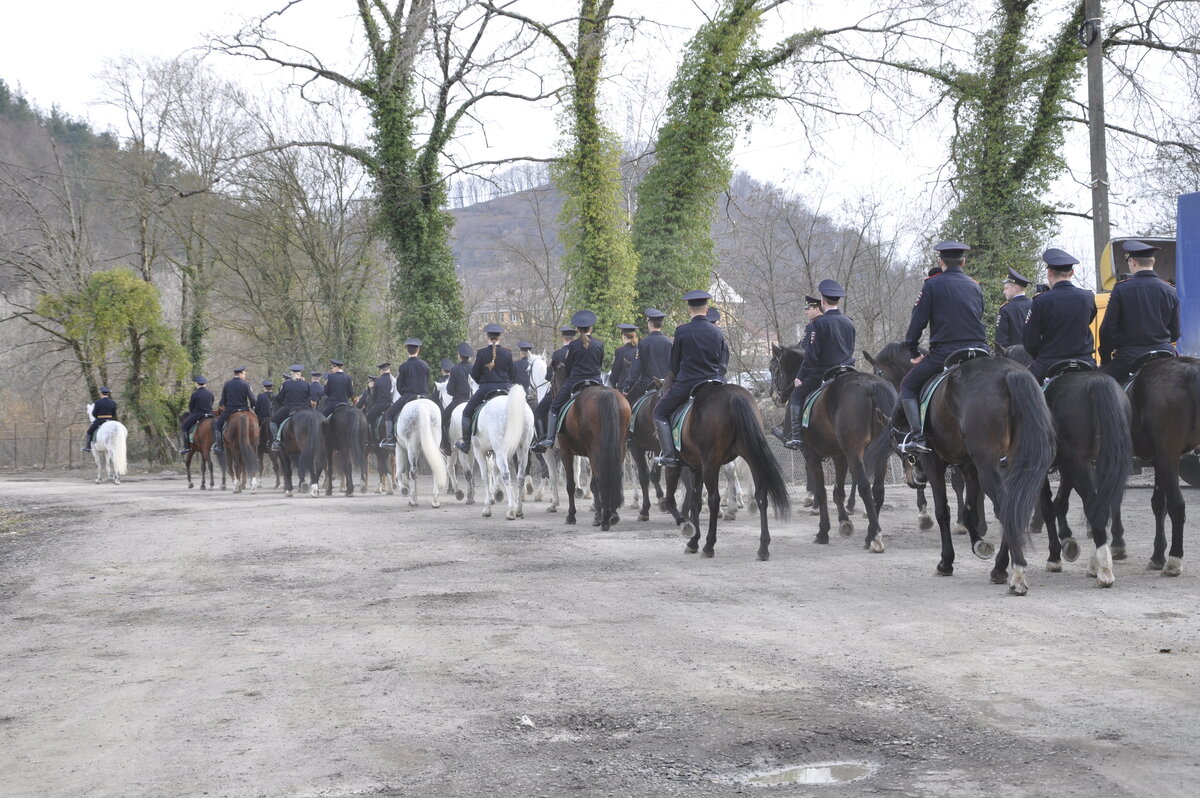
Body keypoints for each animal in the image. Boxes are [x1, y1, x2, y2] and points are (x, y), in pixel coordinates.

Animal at [468, 384, 535, 520]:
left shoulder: (480, 451)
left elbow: (485, 477)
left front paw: (487, 508)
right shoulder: (495, 453)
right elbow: (495, 471)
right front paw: (497, 493)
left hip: (501, 451)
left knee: (506, 474)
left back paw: (510, 511)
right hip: (523, 450)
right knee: (520, 476)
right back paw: (518, 509)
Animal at [556, 386, 633, 528]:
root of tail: (606, 392)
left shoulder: (565, 452)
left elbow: (571, 485)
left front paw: (571, 515)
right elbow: (592, 485)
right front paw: (598, 515)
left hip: (595, 451)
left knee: (600, 479)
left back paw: (606, 518)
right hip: (619, 447)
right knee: (614, 476)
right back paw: (613, 514)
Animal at [662, 381, 792, 556]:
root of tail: (733, 395)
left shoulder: (676, 465)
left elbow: (671, 500)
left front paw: (687, 527)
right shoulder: (697, 468)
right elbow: (695, 502)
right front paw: (693, 540)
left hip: (711, 464)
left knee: (714, 499)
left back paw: (709, 545)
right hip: (750, 456)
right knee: (761, 496)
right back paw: (763, 547)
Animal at [1123, 355, 1200, 573]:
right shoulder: (1158, 460)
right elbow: (1158, 504)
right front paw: (1157, 555)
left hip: (1168, 457)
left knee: (1177, 506)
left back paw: (1175, 560)